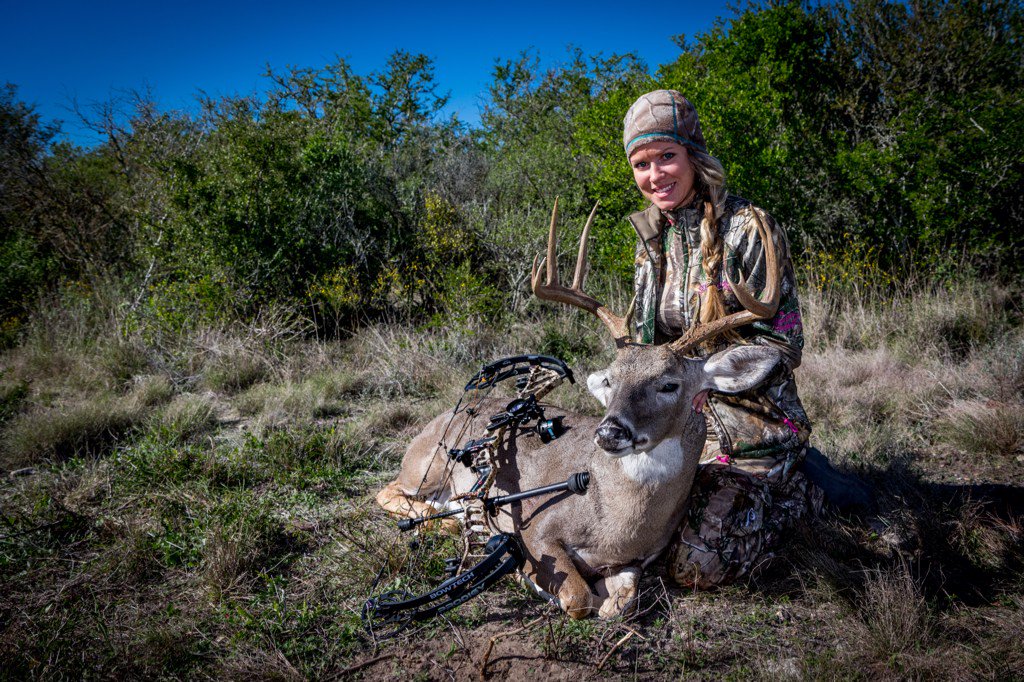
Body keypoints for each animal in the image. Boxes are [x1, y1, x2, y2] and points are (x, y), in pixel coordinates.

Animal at [378, 199, 782, 618]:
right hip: (426, 466)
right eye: (611, 380)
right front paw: (536, 583)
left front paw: (605, 599)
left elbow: (621, 603)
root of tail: (438, 420)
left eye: (669, 384)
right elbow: (577, 595)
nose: (609, 432)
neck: (616, 525)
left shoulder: (635, 561)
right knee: (390, 492)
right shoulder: (535, 526)